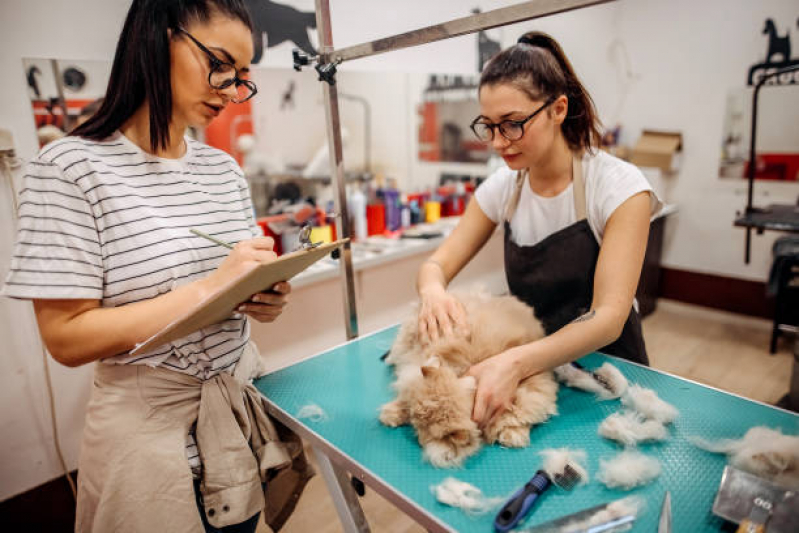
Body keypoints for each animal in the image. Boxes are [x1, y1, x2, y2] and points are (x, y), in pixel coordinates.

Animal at [380, 288, 556, 468]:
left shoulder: (533, 387)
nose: (421, 441)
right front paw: (391, 413)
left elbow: (517, 414)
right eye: (417, 426)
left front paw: (514, 434)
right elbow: (406, 396)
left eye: (427, 433)